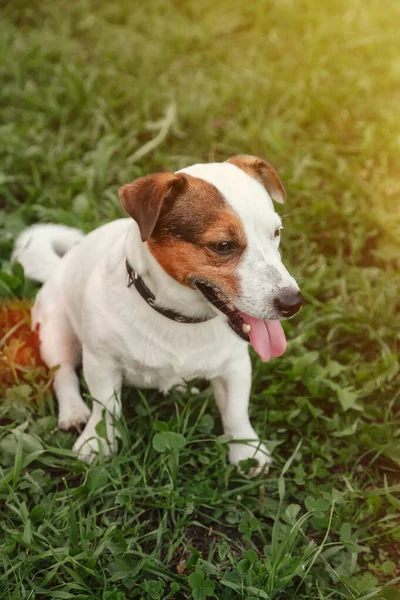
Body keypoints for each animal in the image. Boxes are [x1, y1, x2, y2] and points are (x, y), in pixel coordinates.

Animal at [13, 157, 304, 476]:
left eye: (276, 232)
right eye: (223, 246)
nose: (293, 302)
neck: (179, 317)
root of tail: (58, 265)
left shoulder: (235, 366)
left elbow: (236, 411)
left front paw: (246, 449)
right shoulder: (101, 362)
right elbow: (105, 409)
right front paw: (97, 443)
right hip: (54, 330)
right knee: (63, 372)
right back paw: (74, 411)